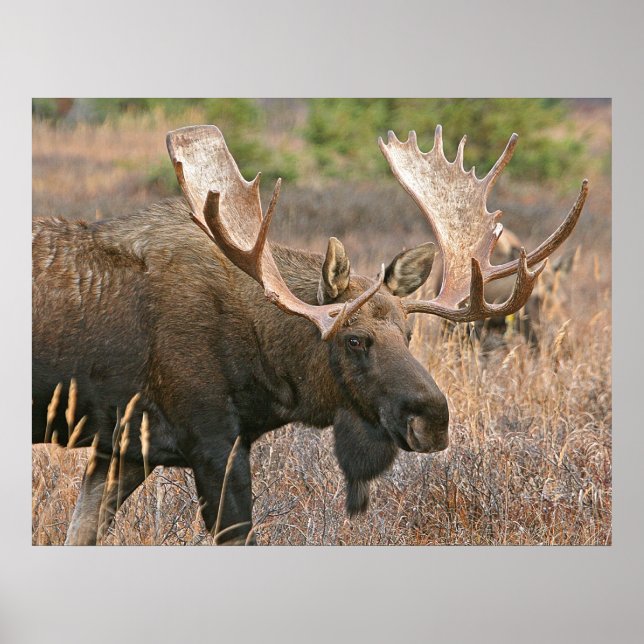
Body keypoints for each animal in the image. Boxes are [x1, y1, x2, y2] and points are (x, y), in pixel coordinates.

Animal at [32, 124, 587, 544]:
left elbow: (80, 533)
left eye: (409, 334)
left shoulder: (122, 448)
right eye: (354, 339)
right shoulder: (211, 442)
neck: (265, 372)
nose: (434, 419)